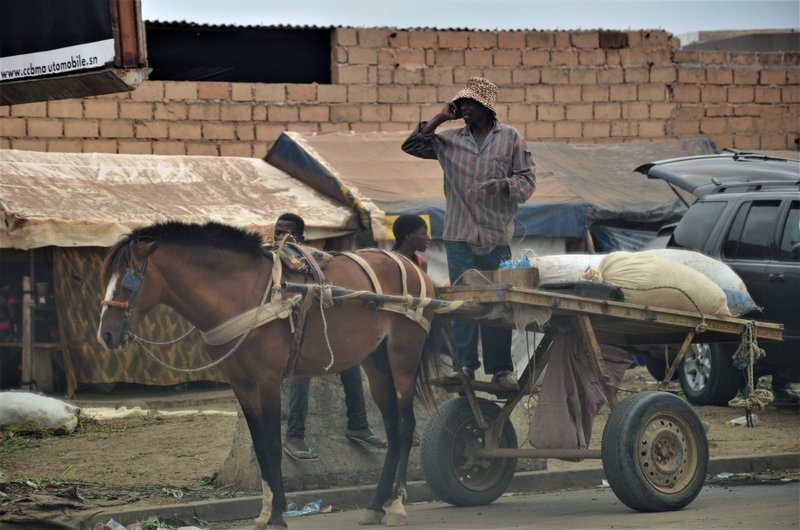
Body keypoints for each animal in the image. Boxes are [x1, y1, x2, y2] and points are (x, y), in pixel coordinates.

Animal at [97, 219, 440, 524]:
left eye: (129, 280)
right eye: (104, 278)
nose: (106, 335)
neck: (239, 293)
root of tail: (411, 266)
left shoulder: (268, 380)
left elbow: (274, 446)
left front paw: (277, 516)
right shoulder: (242, 384)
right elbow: (261, 447)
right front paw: (265, 513)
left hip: (404, 357)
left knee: (405, 427)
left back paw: (397, 504)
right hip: (376, 362)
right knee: (392, 428)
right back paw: (376, 504)